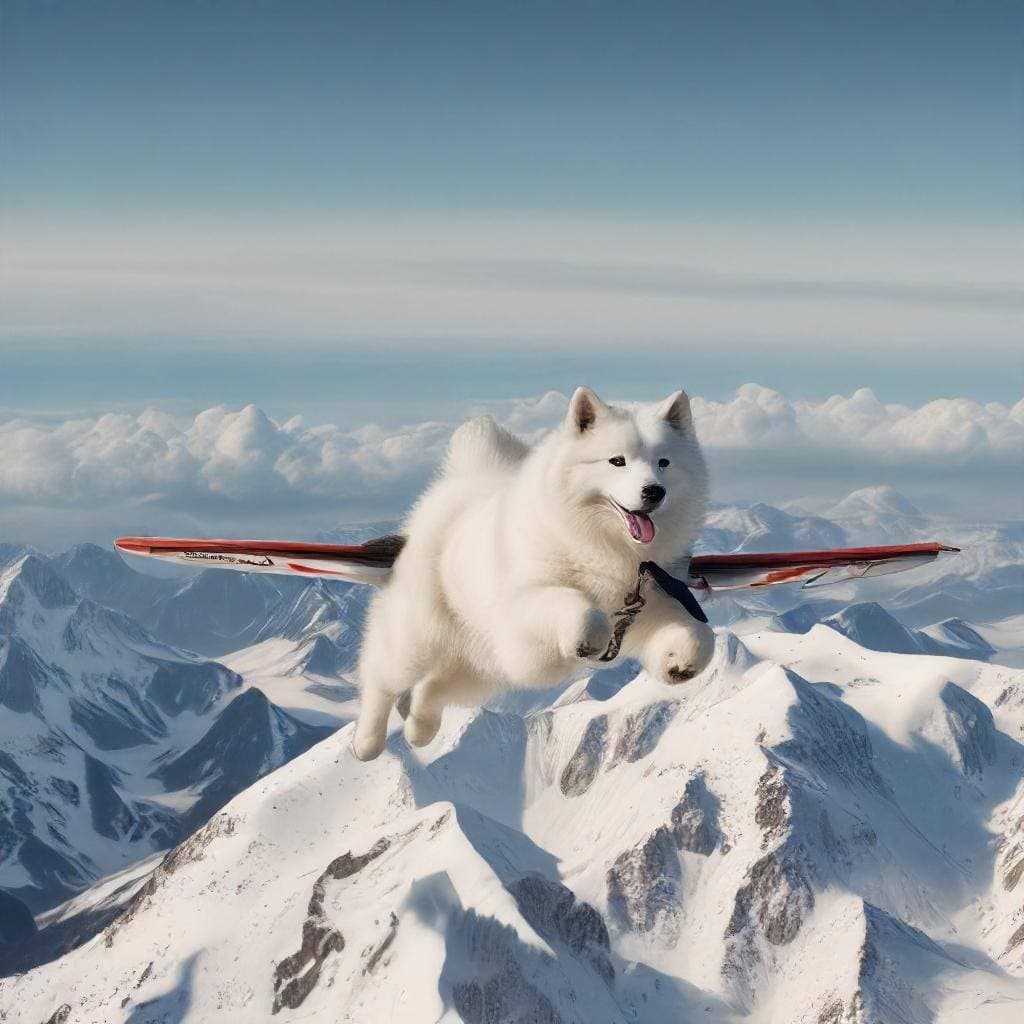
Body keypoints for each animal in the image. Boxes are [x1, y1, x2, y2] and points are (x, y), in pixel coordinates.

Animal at [352, 387, 712, 765]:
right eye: (617, 461)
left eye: (664, 462)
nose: (654, 491)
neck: (606, 547)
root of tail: (461, 481)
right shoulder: (525, 605)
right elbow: (577, 606)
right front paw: (587, 639)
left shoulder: (646, 604)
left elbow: (700, 635)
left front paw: (681, 662)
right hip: (419, 639)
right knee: (381, 676)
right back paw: (367, 742)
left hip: (482, 666)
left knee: (432, 689)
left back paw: (419, 729)